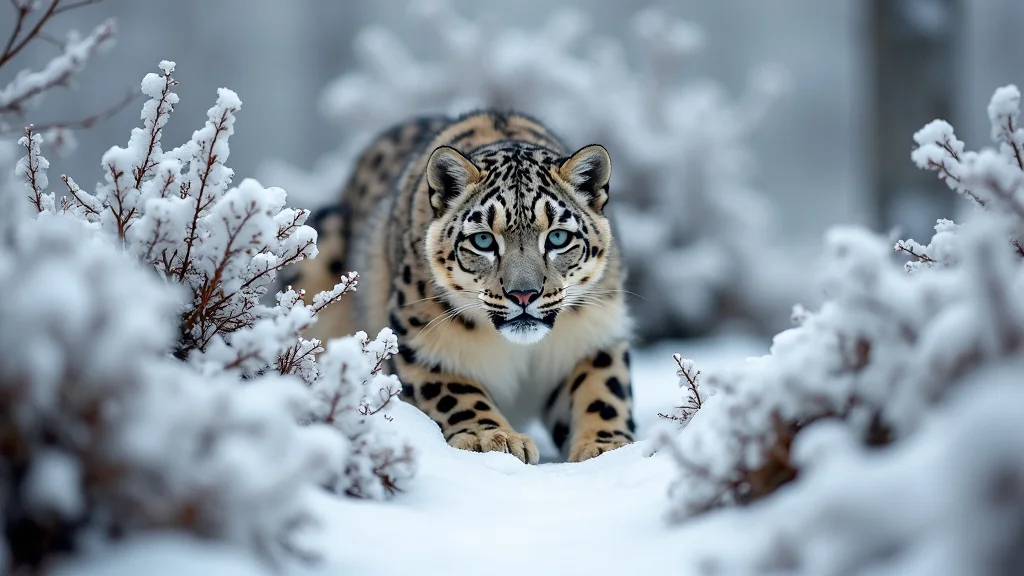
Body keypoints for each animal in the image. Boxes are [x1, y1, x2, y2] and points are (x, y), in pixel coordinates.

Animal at [291, 111, 635, 463]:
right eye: (483, 240)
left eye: (558, 237)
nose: (523, 294)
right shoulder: (422, 341)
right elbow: (457, 393)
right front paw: (494, 438)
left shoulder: (594, 335)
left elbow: (602, 389)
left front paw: (607, 448)